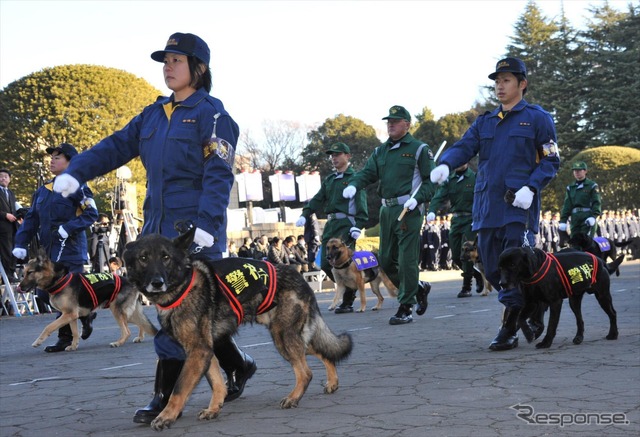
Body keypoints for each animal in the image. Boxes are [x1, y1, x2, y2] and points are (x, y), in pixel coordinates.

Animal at [18, 249, 158, 350]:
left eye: (30, 272)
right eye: (23, 273)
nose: (19, 288)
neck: (58, 280)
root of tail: (131, 281)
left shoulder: (68, 314)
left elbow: (49, 326)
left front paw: (38, 341)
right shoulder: (71, 315)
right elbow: (74, 332)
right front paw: (73, 346)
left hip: (117, 310)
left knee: (127, 331)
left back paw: (118, 342)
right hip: (129, 312)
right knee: (141, 323)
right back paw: (139, 337)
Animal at [124, 228, 356, 430]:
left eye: (165, 257)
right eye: (143, 258)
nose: (157, 283)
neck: (182, 287)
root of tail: (299, 276)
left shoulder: (198, 352)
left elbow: (179, 390)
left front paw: (166, 416)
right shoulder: (204, 353)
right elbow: (217, 383)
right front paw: (213, 408)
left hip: (283, 336)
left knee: (306, 372)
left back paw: (293, 397)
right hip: (289, 335)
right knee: (321, 351)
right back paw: (332, 382)